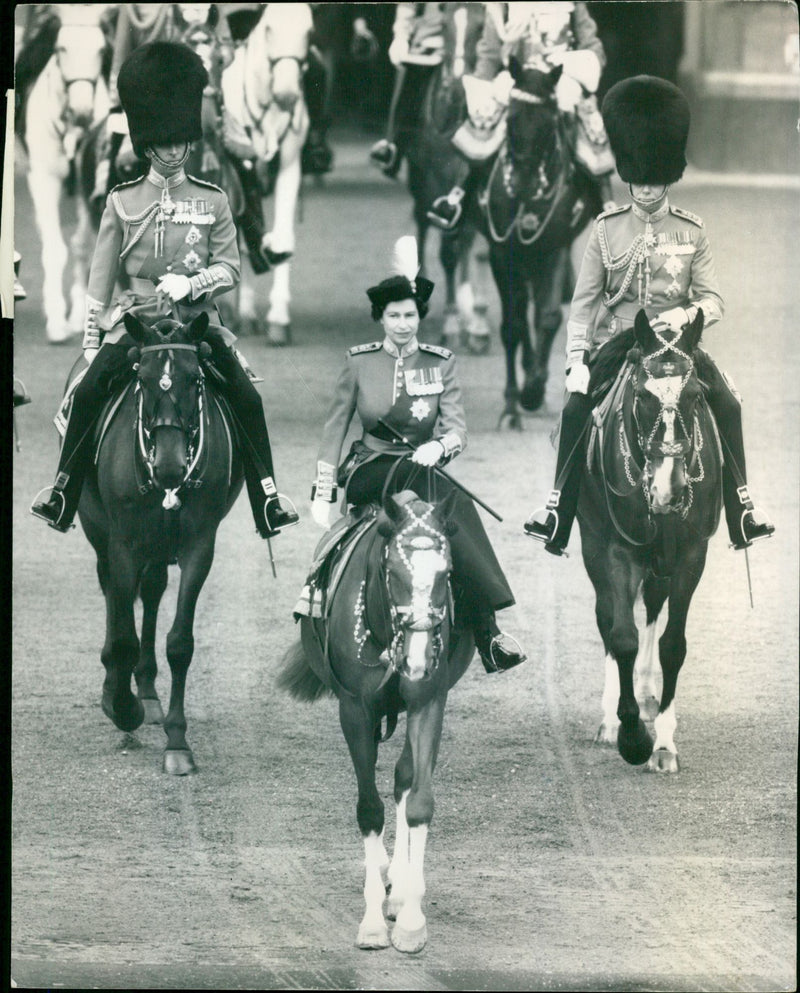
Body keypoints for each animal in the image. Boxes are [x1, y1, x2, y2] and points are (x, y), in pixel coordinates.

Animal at [20, 4, 111, 344]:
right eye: (61, 48)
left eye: (101, 50)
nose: (83, 113)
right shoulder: (44, 179)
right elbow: (55, 249)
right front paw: (58, 320)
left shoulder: (87, 186)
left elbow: (84, 245)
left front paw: (79, 317)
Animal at [74, 314, 244, 772]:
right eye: (143, 379)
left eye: (195, 379)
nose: (170, 468)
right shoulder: (124, 544)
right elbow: (123, 636)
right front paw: (122, 707)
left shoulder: (199, 547)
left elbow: (180, 643)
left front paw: (177, 742)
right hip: (100, 531)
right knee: (114, 594)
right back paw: (118, 688)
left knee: (149, 593)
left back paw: (147, 692)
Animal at [223, 2, 314, 344]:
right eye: (269, 29)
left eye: (309, 31)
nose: (287, 94)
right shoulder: (239, 171)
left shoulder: (290, 162)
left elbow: (283, 237)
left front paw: (278, 318)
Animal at [278, 480, 476, 952]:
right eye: (394, 573)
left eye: (446, 574)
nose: (419, 660)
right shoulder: (355, 709)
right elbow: (369, 810)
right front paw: (371, 923)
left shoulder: (428, 701)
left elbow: (419, 801)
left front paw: (411, 922)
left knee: (405, 778)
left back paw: (401, 887)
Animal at [576, 308, 720, 768]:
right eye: (642, 396)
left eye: (695, 395)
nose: (667, 489)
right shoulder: (619, 552)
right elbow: (622, 635)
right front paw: (632, 735)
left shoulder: (691, 555)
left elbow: (673, 644)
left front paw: (663, 743)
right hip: (595, 545)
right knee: (607, 616)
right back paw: (611, 719)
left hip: (662, 562)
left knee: (654, 608)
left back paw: (645, 691)